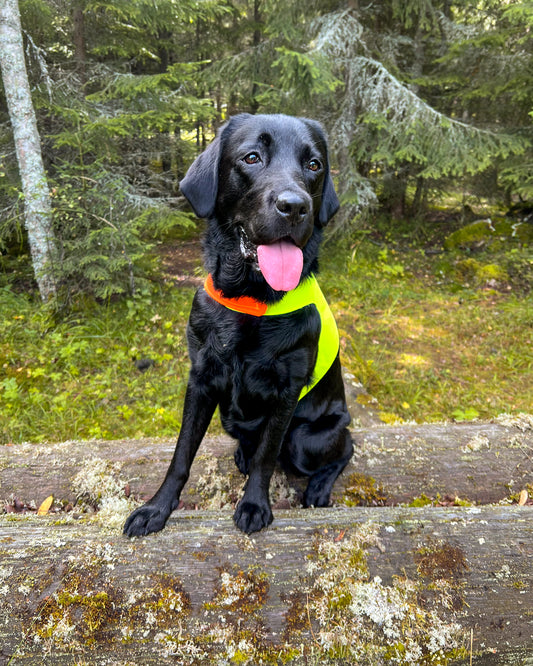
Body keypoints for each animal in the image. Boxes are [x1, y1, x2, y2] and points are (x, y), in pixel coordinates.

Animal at [122, 111, 352, 536]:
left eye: (314, 165)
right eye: (251, 157)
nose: (295, 206)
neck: (251, 299)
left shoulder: (286, 390)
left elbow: (267, 455)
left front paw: (254, 504)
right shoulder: (201, 378)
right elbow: (181, 454)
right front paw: (156, 508)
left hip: (308, 439)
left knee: (345, 448)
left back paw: (318, 487)